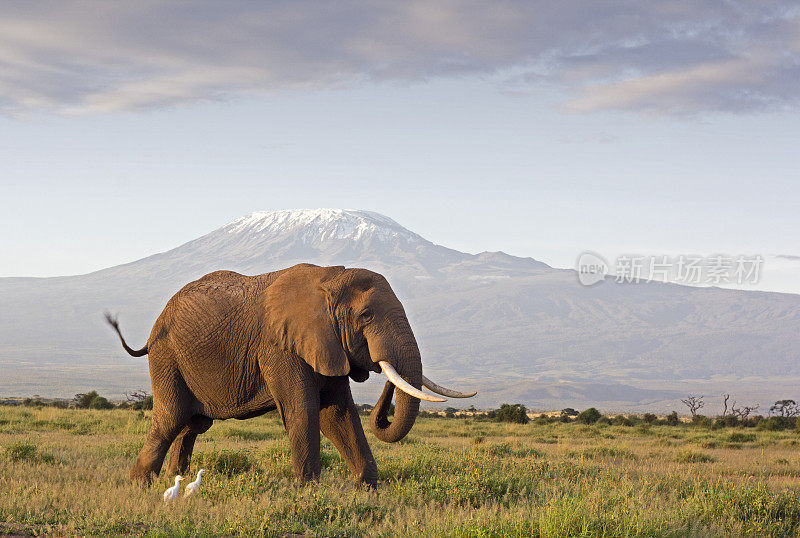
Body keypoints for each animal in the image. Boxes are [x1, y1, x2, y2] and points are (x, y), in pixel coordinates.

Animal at [103, 264, 472, 486]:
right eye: (366, 315)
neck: (328, 279)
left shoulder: (326, 344)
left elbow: (338, 414)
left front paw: (366, 489)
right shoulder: (279, 346)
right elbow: (304, 411)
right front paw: (308, 491)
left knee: (192, 424)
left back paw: (174, 481)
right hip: (167, 356)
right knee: (171, 417)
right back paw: (140, 485)